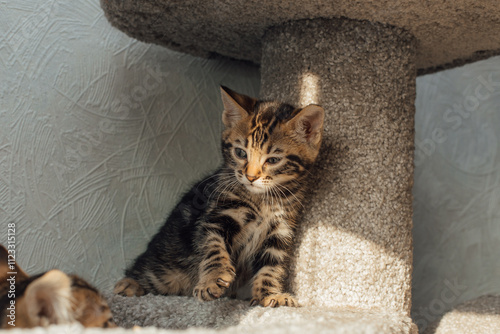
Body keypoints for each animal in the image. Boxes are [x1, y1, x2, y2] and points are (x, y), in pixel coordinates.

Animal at [114, 87, 324, 308]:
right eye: (241, 153)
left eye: (273, 160)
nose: (250, 177)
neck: (262, 201)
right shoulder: (216, 216)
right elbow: (214, 247)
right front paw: (212, 281)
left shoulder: (279, 232)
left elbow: (271, 267)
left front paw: (269, 295)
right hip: (167, 265)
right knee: (147, 272)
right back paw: (129, 285)